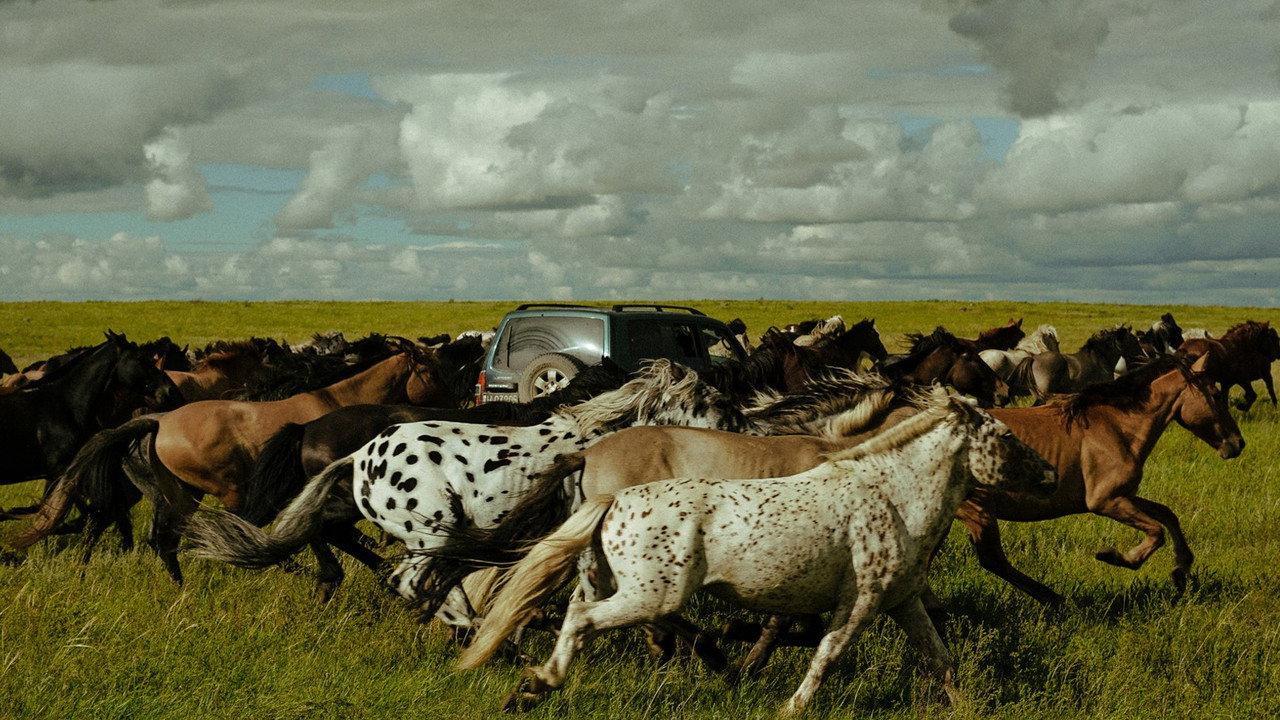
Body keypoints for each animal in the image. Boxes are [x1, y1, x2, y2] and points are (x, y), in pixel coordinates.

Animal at [459, 391, 1057, 715]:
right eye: (1006, 437)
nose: (1051, 475)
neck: (891, 494)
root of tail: (612, 496)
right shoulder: (859, 602)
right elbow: (825, 651)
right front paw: (789, 703)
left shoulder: (902, 601)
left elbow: (941, 660)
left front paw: (969, 707)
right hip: (652, 594)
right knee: (584, 619)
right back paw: (538, 685)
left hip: (615, 583)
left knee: (576, 614)